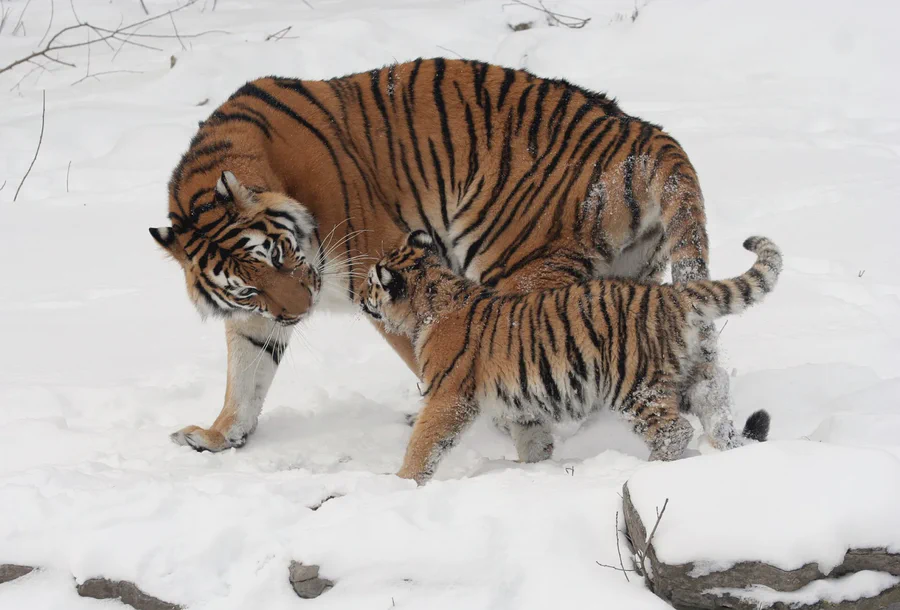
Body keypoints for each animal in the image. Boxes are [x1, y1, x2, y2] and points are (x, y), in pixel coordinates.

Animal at [151, 57, 741, 456]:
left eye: (278, 253)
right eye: (247, 286)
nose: (300, 312)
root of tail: (647, 133)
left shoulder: (380, 268)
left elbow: (430, 355)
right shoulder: (257, 315)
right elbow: (246, 373)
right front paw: (218, 435)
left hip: (518, 265)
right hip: (630, 275)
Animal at [360, 231, 780, 484]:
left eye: (370, 283)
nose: (361, 297)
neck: (431, 301)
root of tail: (672, 294)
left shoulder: (448, 397)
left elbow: (424, 442)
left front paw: (401, 482)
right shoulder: (522, 404)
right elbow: (532, 439)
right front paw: (531, 468)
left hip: (634, 386)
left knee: (674, 430)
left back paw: (645, 470)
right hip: (691, 374)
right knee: (716, 401)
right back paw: (728, 452)